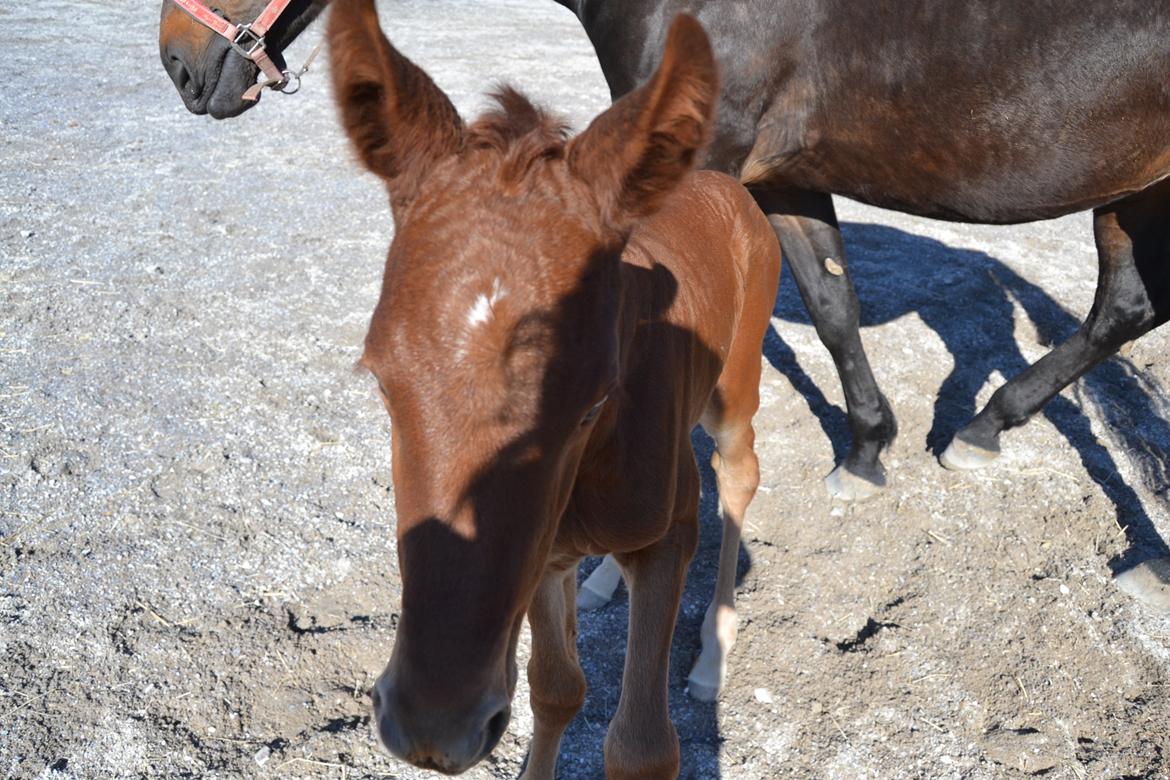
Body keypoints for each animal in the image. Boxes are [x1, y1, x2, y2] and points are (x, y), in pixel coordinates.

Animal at [329, 3, 781, 776]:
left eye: (592, 403)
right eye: (383, 385)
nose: (432, 726)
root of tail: (724, 184)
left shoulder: (671, 531)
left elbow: (641, 745)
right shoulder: (541, 553)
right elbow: (555, 688)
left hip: (735, 390)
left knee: (740, 473)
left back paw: (712, 657)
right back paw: (602, 584)